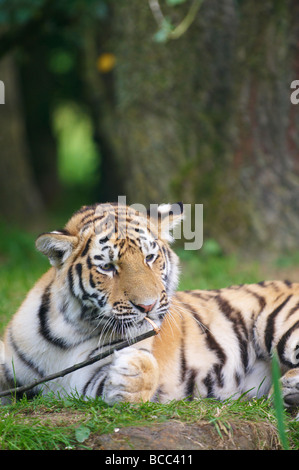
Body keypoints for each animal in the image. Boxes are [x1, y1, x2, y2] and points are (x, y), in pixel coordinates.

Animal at [1, 201, 299, 408]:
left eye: (150, 257)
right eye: (107, 267)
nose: (147, 306)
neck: (71, 328)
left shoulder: (85, 376)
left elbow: (140, 376)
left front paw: (131, 373)